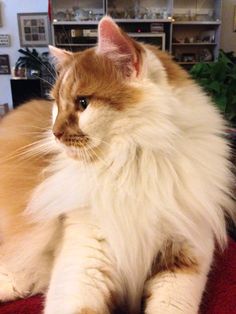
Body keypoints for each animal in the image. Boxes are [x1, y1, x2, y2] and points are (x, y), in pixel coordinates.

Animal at [0, 16, 234, 314]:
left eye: (83, 103)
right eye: (57, 105)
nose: (55, 133)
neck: (133, 163)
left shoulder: (185, 255)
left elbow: (170, 306)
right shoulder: (85, 260)